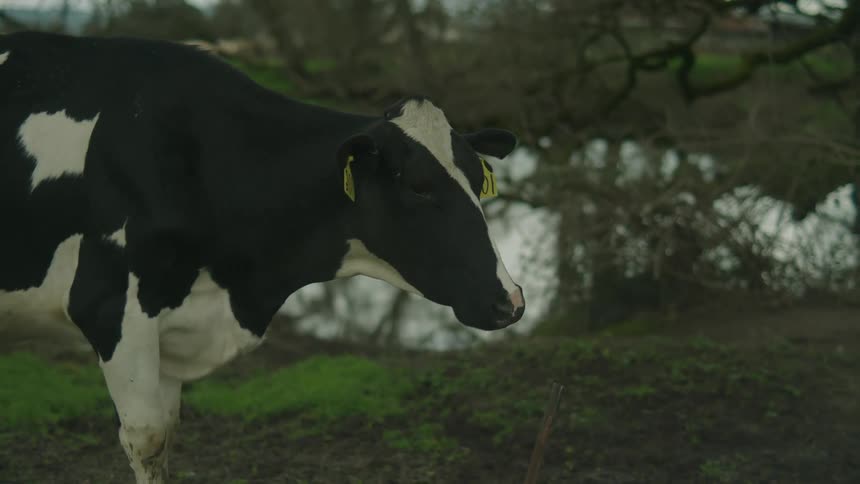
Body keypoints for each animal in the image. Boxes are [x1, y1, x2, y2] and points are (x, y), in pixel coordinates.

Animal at [0, 31, 525, 483]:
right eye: (418, 186)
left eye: (480, 180)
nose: (511, 300)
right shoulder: (112, 308)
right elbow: (146, 438)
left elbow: (166, 435)